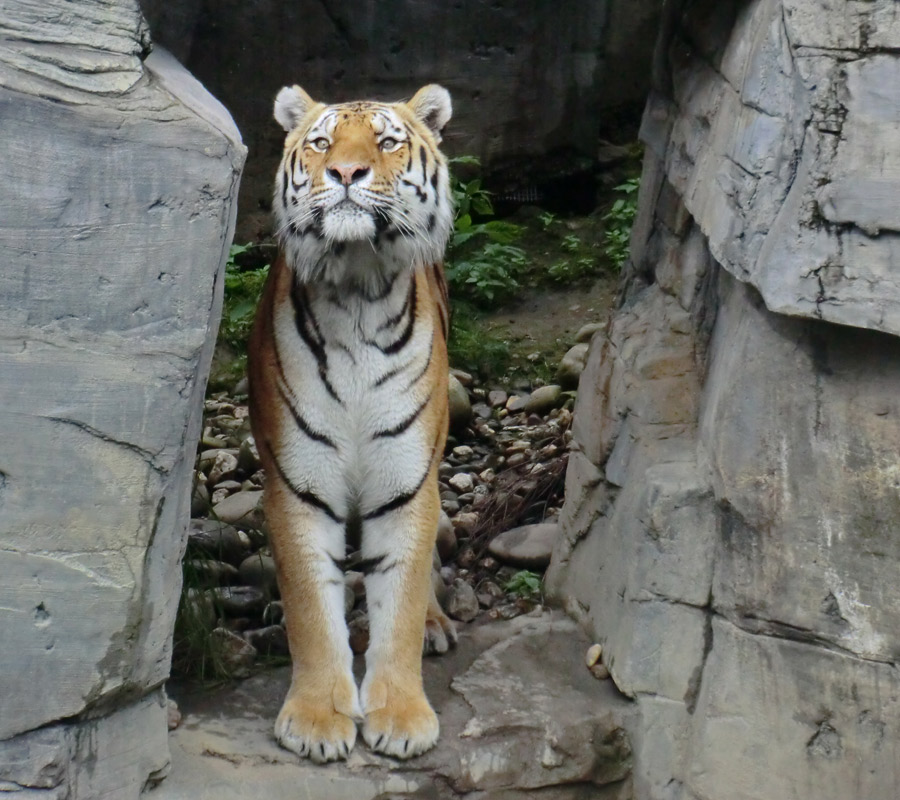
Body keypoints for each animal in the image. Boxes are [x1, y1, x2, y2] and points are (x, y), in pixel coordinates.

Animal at [246, 84, 458, 764]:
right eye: (321, 143)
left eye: (387, 142)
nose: (344, 173)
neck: (358, 290)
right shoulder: (297, 486)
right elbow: (313, 609)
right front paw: (317, 720)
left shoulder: (407, 481)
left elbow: (401, 600)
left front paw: (401, 716)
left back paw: (437, 625)